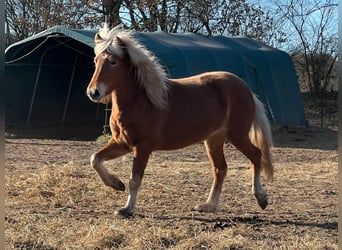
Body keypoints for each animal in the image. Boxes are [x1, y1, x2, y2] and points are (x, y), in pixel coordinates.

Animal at [87, 23, 274, 219]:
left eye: (113, 62)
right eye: (95, 61)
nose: (93, 92)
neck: (141, 100)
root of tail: (246, 89)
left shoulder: (142, 147)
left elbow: (135, 180)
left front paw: (127, 209)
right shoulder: (122, 143)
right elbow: (95, 159)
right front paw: (116, 184)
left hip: (237, 134)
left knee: (256, 155)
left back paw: (261, 198)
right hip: (214, 139)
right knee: (220, 169)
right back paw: (208, 205)